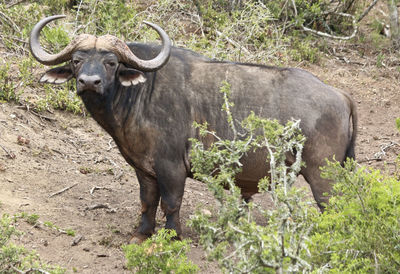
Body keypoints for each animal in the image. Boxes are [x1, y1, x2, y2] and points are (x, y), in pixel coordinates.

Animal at [30, 15, 356, 242]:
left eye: (111, 62)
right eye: (76, 61)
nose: (89, 82)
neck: (142, 93)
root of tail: (339, 94)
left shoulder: (171, 166)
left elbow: (172, 202)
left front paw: (172, 235)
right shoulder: (144, 168)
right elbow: (147, 201)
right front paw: (142, 233)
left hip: (323, 175)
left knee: (334, 208)